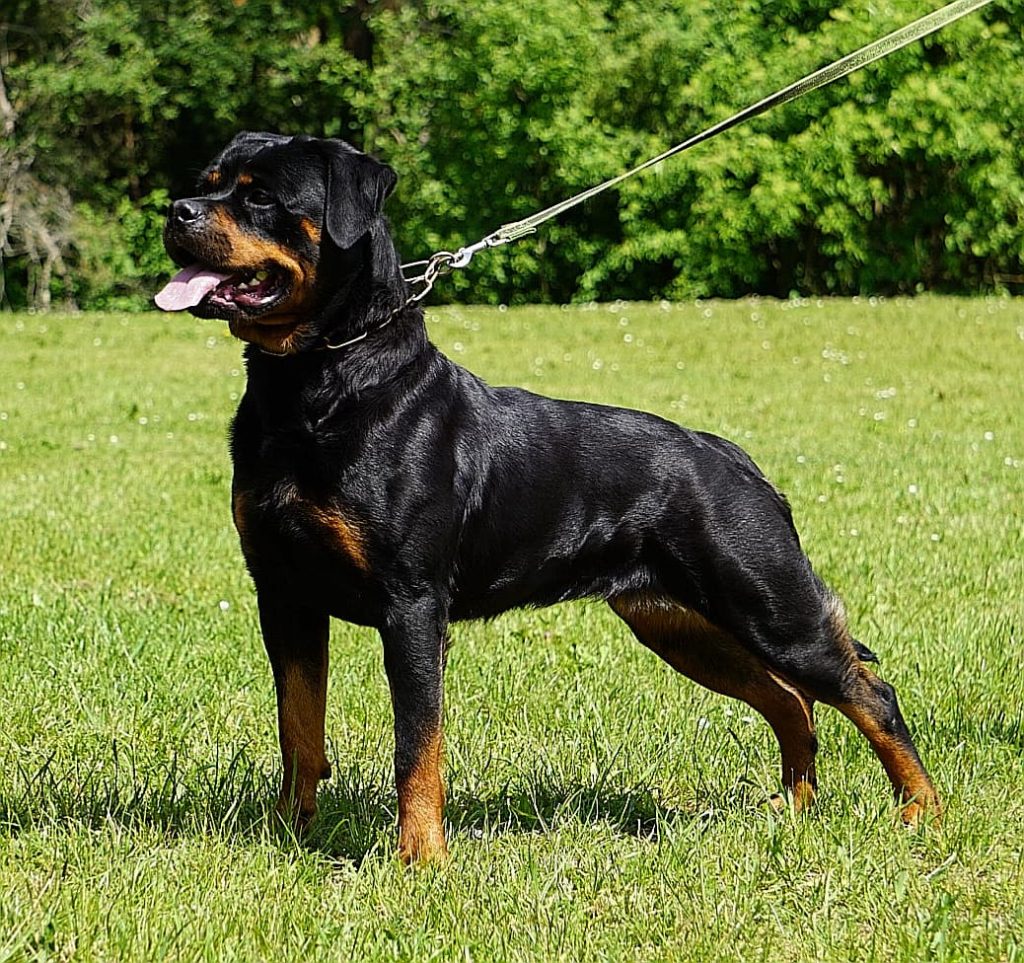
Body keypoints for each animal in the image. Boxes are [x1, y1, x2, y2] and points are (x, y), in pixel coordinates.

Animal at [157, 132, 937, 860]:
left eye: (261, 197)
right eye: (209, 182)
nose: (175, 209)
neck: (318, 384)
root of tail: (733, 458)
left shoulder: (411, 605)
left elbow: (417, 743)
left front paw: (420, 857)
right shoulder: (283, 592)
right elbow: (298, 725)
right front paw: (290, 831)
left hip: (766, 604)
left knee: (867, 692)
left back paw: (919, 810)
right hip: (682, 624)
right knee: (790, 699)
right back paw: (794, 804)